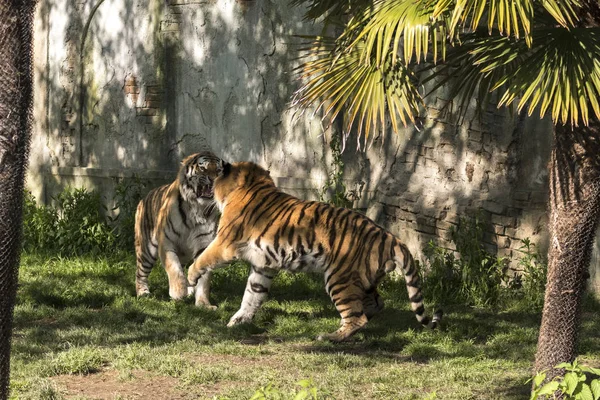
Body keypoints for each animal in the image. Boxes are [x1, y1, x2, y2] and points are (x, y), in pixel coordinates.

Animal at [135, 150, 226, 306]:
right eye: (203, 168)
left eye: (219, 170)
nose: (214, 179)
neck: (197, 208)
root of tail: (143, 198)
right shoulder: (166, 242)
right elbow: (174, 267)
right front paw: (178, 292)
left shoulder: (203, 246)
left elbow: (203, 279)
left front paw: (203, 304)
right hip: (146, 250)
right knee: (140, 273)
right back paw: (143, 293)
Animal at [185, 161, 442, 342]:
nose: (208, 190)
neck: (251, 184)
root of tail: (389, 236)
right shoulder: (263, 265)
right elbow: (253, 294)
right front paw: (239, 321)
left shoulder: (224, 243)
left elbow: (203, 259)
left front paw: (191, 279)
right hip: (364, 279)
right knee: (376, 305)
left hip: (339, 279)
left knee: (356, 317)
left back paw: (330, 337)